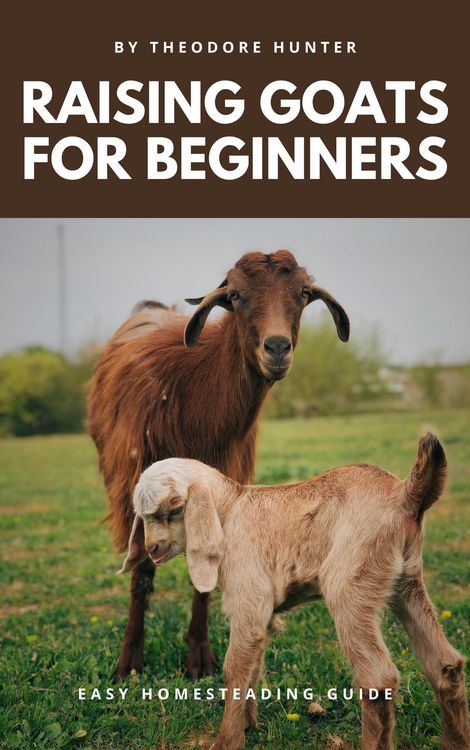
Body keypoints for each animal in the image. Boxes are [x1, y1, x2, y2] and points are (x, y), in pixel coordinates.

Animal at [87, 249, 349, 680]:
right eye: (237, 295)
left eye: (302, 292)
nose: (277, 348)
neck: (190, 391)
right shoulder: (137, 485)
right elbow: (142, 572)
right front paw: (129, 663)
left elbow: (205, 572)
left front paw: (200, 659)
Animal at [121, 434, 470, 750]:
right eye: (144, 516)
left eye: (173, 509)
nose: (152, 549)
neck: (229, 511)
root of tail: (403, 494)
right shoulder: (261, 616)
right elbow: (253, 665)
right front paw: (249, 725)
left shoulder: (248, 597)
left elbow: (234, 669)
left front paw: (226, 741)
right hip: (405, 584)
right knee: (445, 664)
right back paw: (454, 742)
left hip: (351, 584)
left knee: (378, 679)